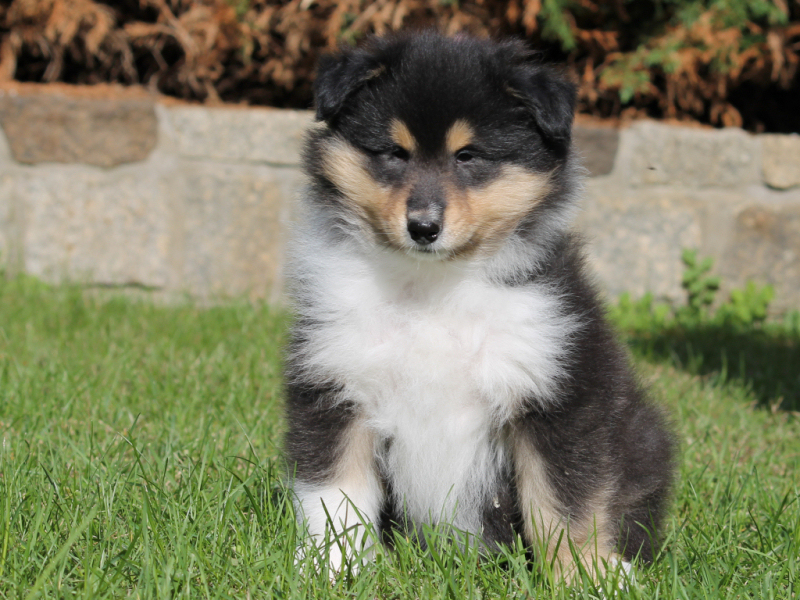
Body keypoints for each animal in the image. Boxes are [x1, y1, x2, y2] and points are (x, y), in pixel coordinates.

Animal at [284, 30, 672, 580]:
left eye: (467, 156)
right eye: (394, 153)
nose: (423, 227)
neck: (434, 287)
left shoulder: (556, 394)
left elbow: (562, 503)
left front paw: (582, 576)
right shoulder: (337, 384)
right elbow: (335, 494)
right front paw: (332, 568)